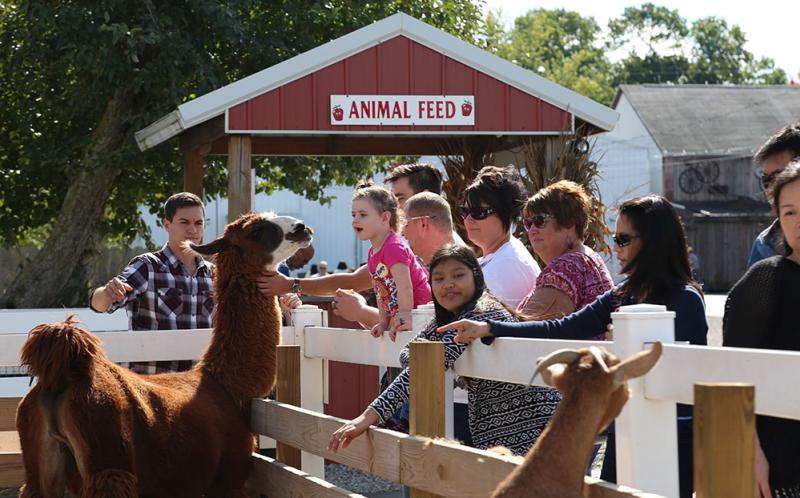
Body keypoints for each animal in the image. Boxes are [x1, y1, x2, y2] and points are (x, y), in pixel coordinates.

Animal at [16, 213, 310, 498]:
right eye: (256, 230)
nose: (302, 228)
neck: (229, 386)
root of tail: (64, 376)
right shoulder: (227, 481)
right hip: (110, 462)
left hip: (40, 464)